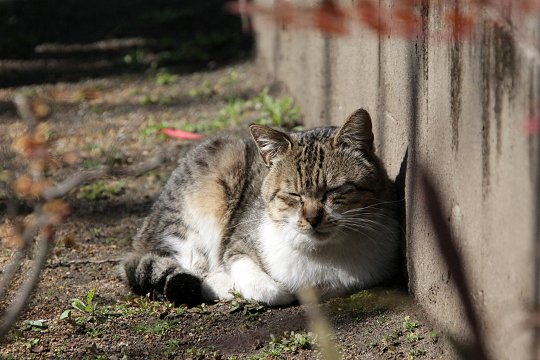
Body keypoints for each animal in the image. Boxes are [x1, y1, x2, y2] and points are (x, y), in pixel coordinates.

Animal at [119, 108, 400, 306]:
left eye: (332, 191)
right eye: (293, 194)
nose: (312, 218)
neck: (321, 253)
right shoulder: (237, 244)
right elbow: (265, 286)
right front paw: (246, 286)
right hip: (211, 181)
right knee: (185, 262)